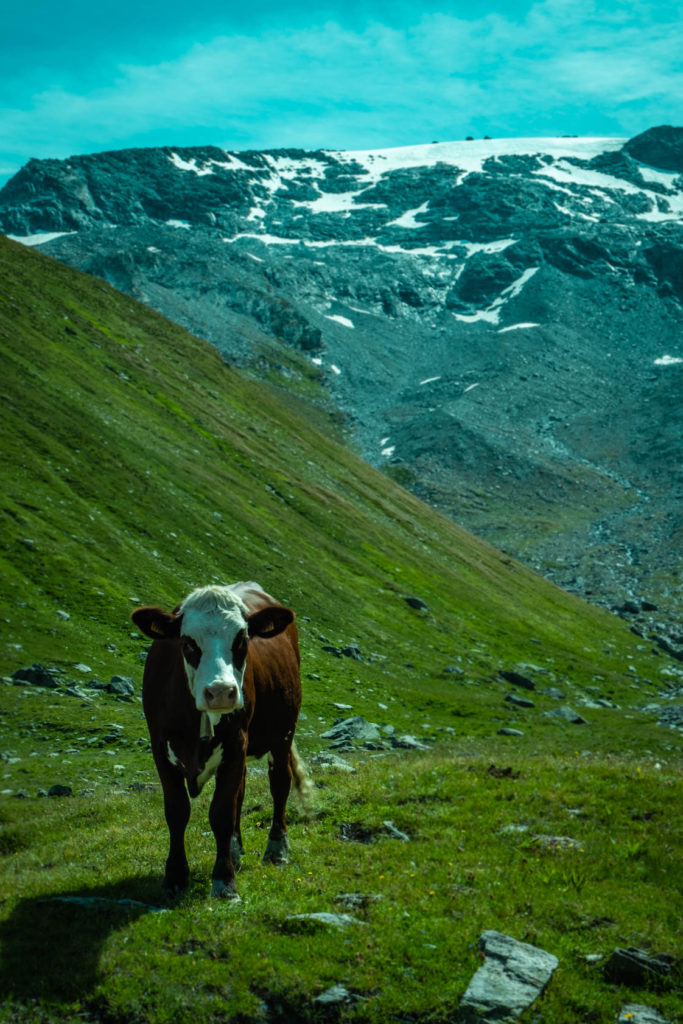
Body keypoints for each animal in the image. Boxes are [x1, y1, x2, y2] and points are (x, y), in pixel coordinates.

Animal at [131, 581, 307, 901]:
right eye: (187, 643)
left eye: (242, 640)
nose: (222, 691)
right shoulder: (160, 748)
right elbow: (177, 811)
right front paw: (175, 878)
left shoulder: (237, 744)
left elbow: (222, 812)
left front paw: (224, 880)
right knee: (242, 791)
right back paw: (236, 851)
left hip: (283, 732)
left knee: (279, 784)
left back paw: (276, 849)